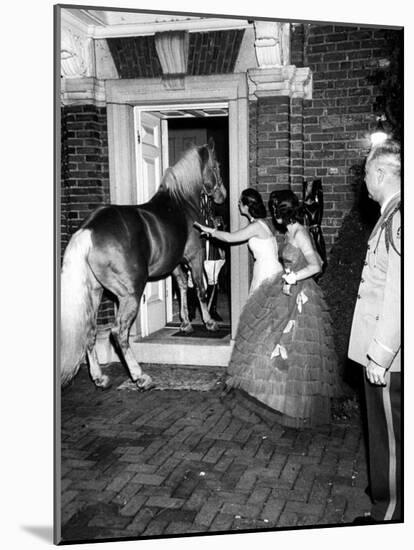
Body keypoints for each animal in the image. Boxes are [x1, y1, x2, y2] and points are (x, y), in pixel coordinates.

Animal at [60, 140, 226, 394]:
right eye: (216, 165)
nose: (222, 196)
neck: (180, 202)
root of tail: (88, 230)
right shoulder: (194, 256)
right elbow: (199, 289)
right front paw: (209, 322)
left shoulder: (174, 263)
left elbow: (182, 287)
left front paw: (185, 323)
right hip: (130, 294)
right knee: (119, 333)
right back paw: (140, 376)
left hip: (95, 292)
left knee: (90, 331)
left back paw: (100, 378)